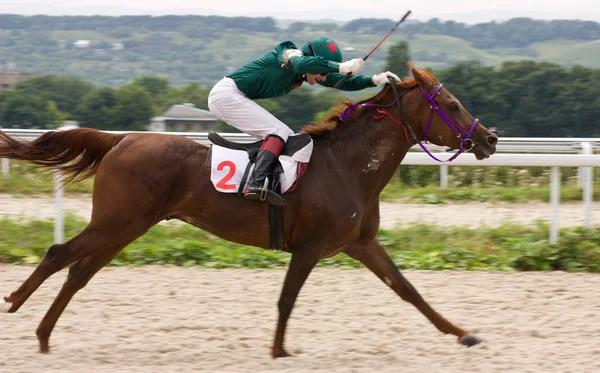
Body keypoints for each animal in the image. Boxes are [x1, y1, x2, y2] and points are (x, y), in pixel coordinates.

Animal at [0, 62, 496, 356]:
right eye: (452, 105)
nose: (489, 138)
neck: (346, 166)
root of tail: (120, 139)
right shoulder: (310, 247)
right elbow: (287, 298)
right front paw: (278, 351)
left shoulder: (360, 243)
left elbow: (408, 290)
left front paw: (463, 333)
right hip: (117, 221)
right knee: (59, 254)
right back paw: (18, 308)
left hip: (126, 227)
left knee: (79, 271)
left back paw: (44, 335)